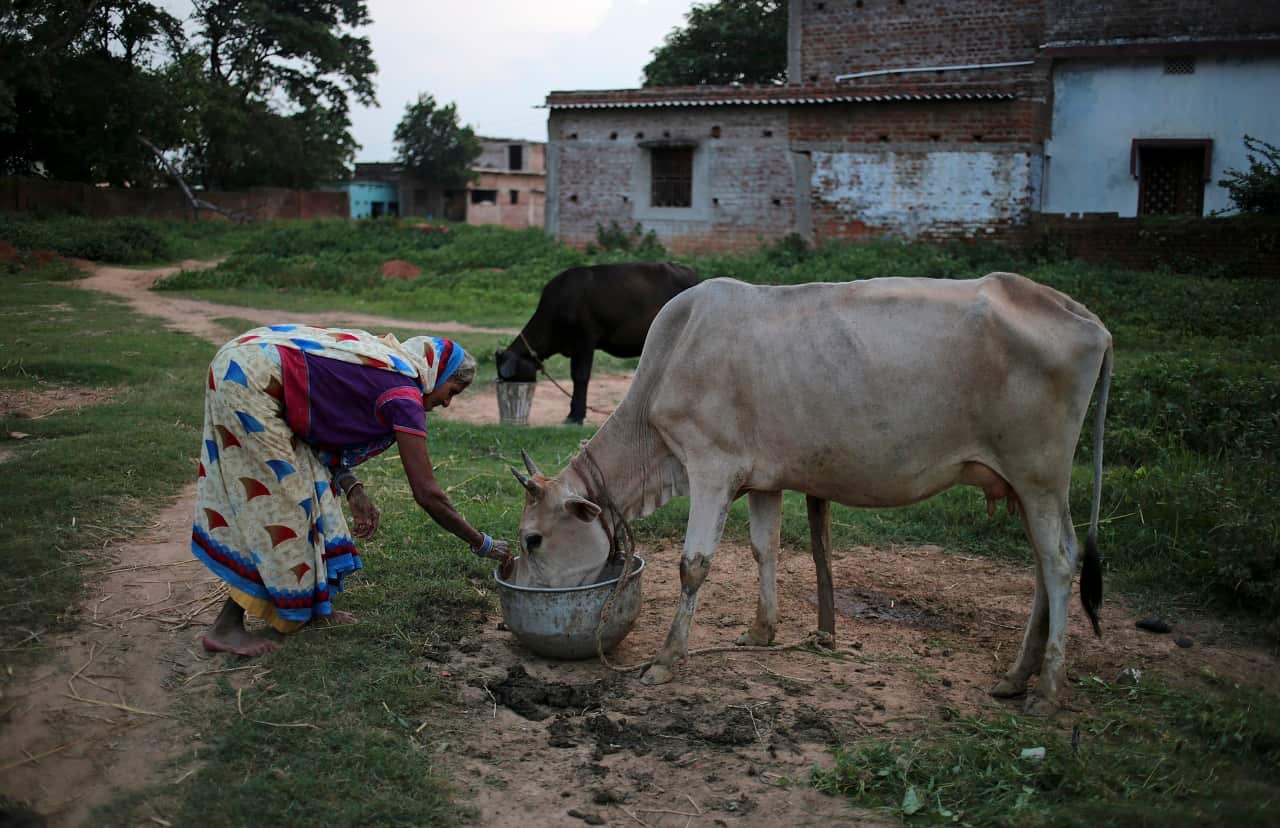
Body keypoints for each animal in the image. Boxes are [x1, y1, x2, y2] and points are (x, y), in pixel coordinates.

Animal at [507, 272, 1113, 715]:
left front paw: (666, 660)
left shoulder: (710, 467)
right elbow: (764, 549)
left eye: (533, 539)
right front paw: (761, 631)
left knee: (1061, 563)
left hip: (1039, 476)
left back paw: (1047, 690)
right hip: (1026, 485)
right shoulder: (762, 479)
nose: (528, 593)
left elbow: (693, 565)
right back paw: (1016, 676)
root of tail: (1084, 318)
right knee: (1045, 565)